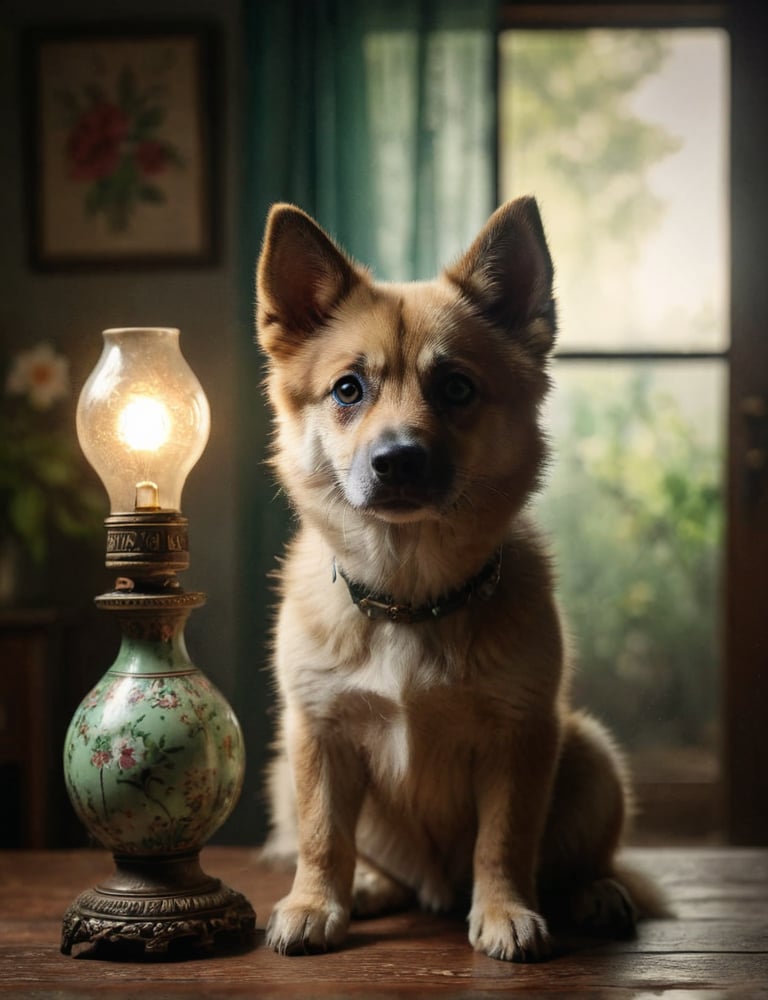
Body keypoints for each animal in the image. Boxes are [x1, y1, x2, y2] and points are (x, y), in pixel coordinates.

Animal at [255, 197, 664, 960]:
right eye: (348, 389)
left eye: (456, 388)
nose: (397, 460)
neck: (411, 596)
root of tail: (434, 888)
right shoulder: (316, 734)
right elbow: (324, 836)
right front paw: (316, 902)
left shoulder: (520, 737)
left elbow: (505, 840)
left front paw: (505, 909)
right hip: (279, 772)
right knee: (367, 857)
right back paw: (370, 887)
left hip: (591, 754)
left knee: (578, 861)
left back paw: (592, 894)